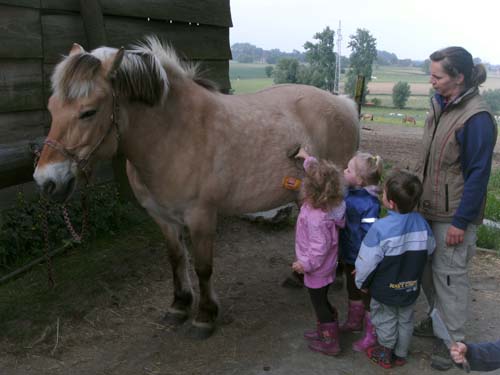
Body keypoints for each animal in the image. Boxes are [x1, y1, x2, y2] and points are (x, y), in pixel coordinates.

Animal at [33, 36, 360, 340]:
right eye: (51, 108)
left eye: (88, 112)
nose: (46, 181)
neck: (173, 135)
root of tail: (343, 102)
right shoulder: (162, 218)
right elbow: (177, 259)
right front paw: (179, 305)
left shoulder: (201, 217)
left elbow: (203, 267)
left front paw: (204, 316)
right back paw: (300, 275)